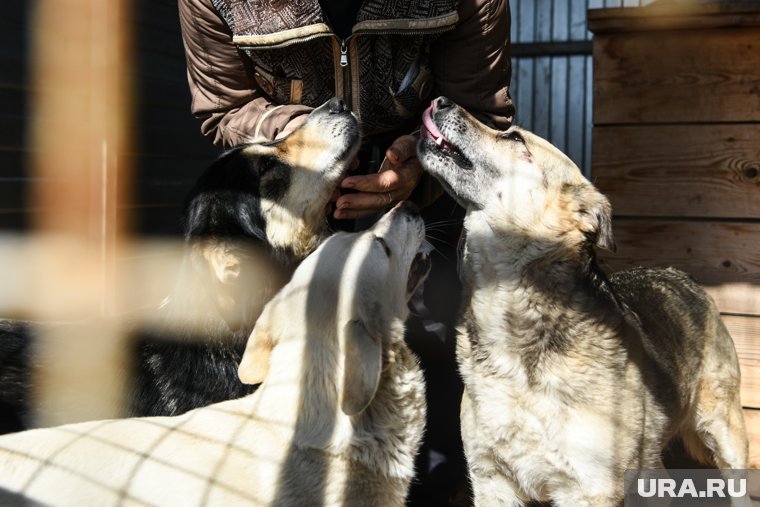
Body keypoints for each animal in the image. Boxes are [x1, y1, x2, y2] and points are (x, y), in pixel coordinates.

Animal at [416, 97, 748, 506]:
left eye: (514, 138)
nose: (439, 100)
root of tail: (680, 274)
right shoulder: (491, 481)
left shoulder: (589, 489)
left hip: (724, 431)